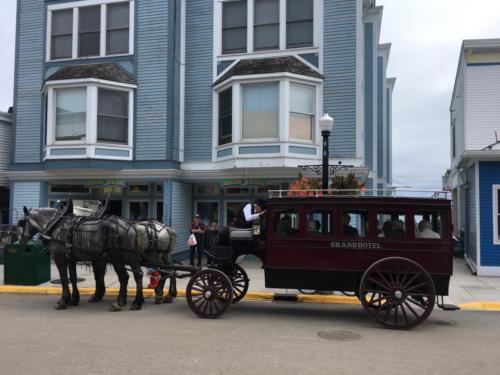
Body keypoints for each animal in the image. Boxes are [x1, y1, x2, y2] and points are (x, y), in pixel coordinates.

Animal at [19, 206, 178, 312]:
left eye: (22, 222)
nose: (21, 241)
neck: (56, 225)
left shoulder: (61, 258)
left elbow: (66, 279)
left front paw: (64, 301)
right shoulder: (73, 259)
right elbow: (76, 278)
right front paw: (76, 298)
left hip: (126, 257)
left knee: (133, 276)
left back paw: (131, 301)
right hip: (150, 257)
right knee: (168, 271)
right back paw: (163, 295)